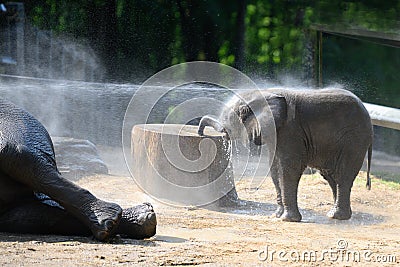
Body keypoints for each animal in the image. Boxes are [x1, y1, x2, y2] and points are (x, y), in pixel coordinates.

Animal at [198, 88, 374, 222]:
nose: (200, 132)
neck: (265, 93)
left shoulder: (290, 131)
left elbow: (289, 169)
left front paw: (287, 220)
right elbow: (275, 169)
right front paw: (276, 216)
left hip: (354, 140)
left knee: (342, 175)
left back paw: (336, 216)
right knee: (331, 176)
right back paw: (336, 214)